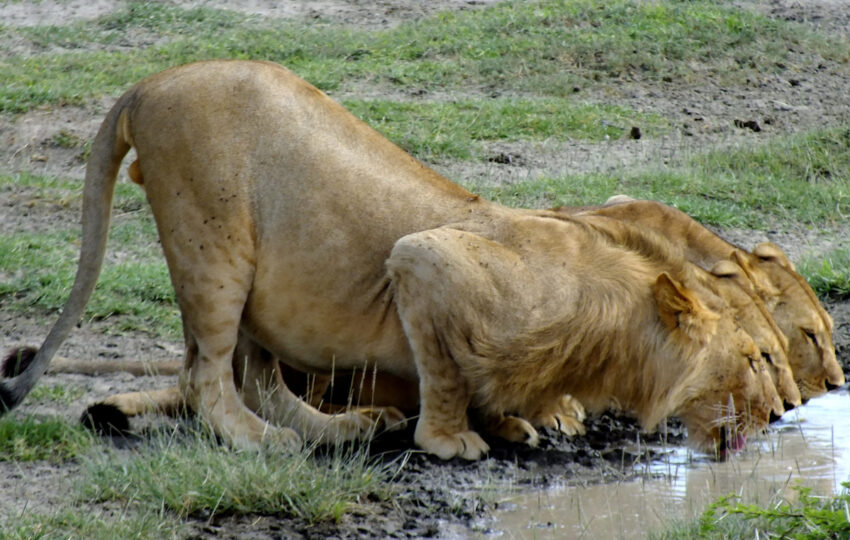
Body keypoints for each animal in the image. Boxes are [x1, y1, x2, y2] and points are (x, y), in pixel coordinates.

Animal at [0, 60, 780, 460]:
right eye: (755, 358)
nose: (778, 415)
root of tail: (148, 83)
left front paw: (516, 422)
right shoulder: (421, 262)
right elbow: (445, 371)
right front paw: (451, 440)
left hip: (251, 272)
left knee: (256, 374)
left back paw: (337, 427)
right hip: (212, 242)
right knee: (206, 376)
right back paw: (262, 441)